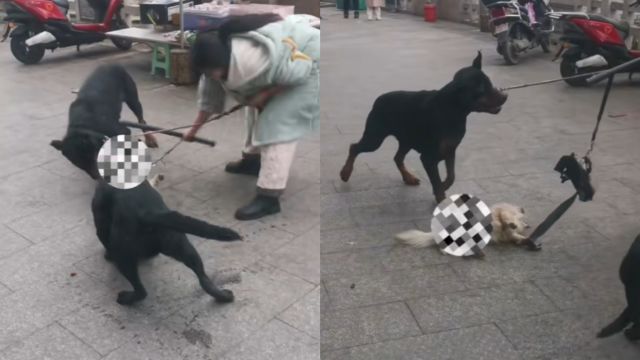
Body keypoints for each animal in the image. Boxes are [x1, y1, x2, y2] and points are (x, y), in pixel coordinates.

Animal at [90, 176, 240, 304]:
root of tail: (147, 213)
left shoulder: (100, 220)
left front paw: (107, 255)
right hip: (180, 244)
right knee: (203, 278)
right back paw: (223, 296)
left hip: (121, 252)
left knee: (141, 290)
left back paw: (127, 298)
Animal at [338, 51, 508, 202]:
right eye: (480, 90)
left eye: (489, 82)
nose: (505, 96)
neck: (454, 110)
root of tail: (378, 99)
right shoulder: (428, 157)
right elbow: (437, 180)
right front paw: (440, 198)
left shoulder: (450, 150)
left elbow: (451, 176)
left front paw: (443, 188)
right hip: (375, 137)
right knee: (354, 147)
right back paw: (345, 173)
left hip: (406, 139)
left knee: (397, 157)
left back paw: (409, 177)